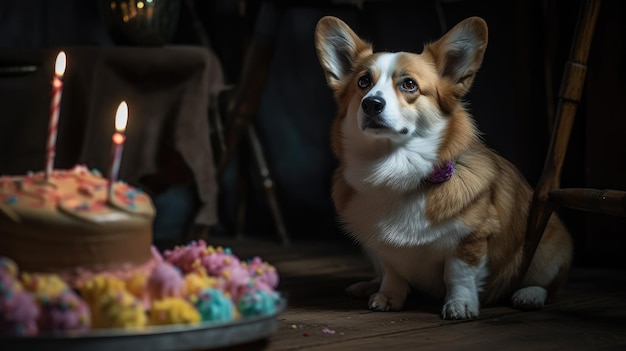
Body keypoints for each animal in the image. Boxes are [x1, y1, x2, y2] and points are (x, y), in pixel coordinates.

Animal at [312, 15, 572, 320]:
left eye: (409, 84)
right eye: (363, 82)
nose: (371, 104)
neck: (394, 168)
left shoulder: (471, 238)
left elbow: (458, 274)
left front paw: (460, 304)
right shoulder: (382, 246)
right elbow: (392, 270)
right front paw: (389, 296)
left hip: (548, 248)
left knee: (549, 286)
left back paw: (529, 295)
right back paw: (368, 285)